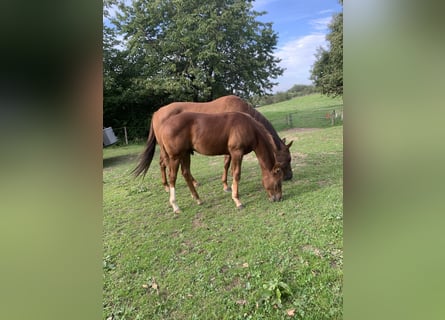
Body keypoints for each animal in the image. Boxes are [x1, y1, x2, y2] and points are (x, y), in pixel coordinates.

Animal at [134, 111, 282, 214]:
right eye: (278, 182)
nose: (278, 198)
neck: (248, 127)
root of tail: (163, 125)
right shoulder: (236, 153)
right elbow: (236, 174)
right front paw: (237, 201)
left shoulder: (231, 154)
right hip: (175, 157)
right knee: (172, 177)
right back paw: (175, 206)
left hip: (185, 154)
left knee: (186, 173)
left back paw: (198, 199)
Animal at [147, 95, 292, 192]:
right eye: (287, 159)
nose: (289, 176)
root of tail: (156, 113)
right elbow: (227, 165)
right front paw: (227, 185)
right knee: (164, 164)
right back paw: (167, 186)